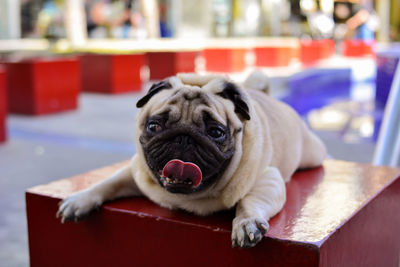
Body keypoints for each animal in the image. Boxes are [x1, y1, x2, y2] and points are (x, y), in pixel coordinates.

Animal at [56, 73, 326, 249]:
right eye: (154, 126)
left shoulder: (267, 178)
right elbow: (108, 183)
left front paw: (246, 222)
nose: (184, 137)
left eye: (216, 132)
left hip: (311, 153)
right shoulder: (136, 173)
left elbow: (250, 201)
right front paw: (79, 200)